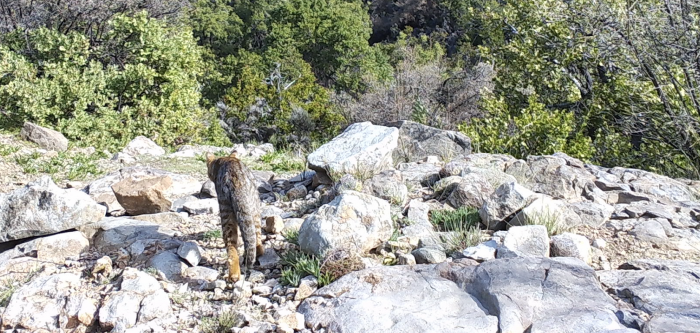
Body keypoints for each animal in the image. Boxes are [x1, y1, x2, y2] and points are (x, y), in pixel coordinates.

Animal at [208, 151, 266, 280]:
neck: (225, 159)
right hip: (252, 207)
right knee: (254, 239)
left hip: (226, 210)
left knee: (231, 248)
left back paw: (233, 275)